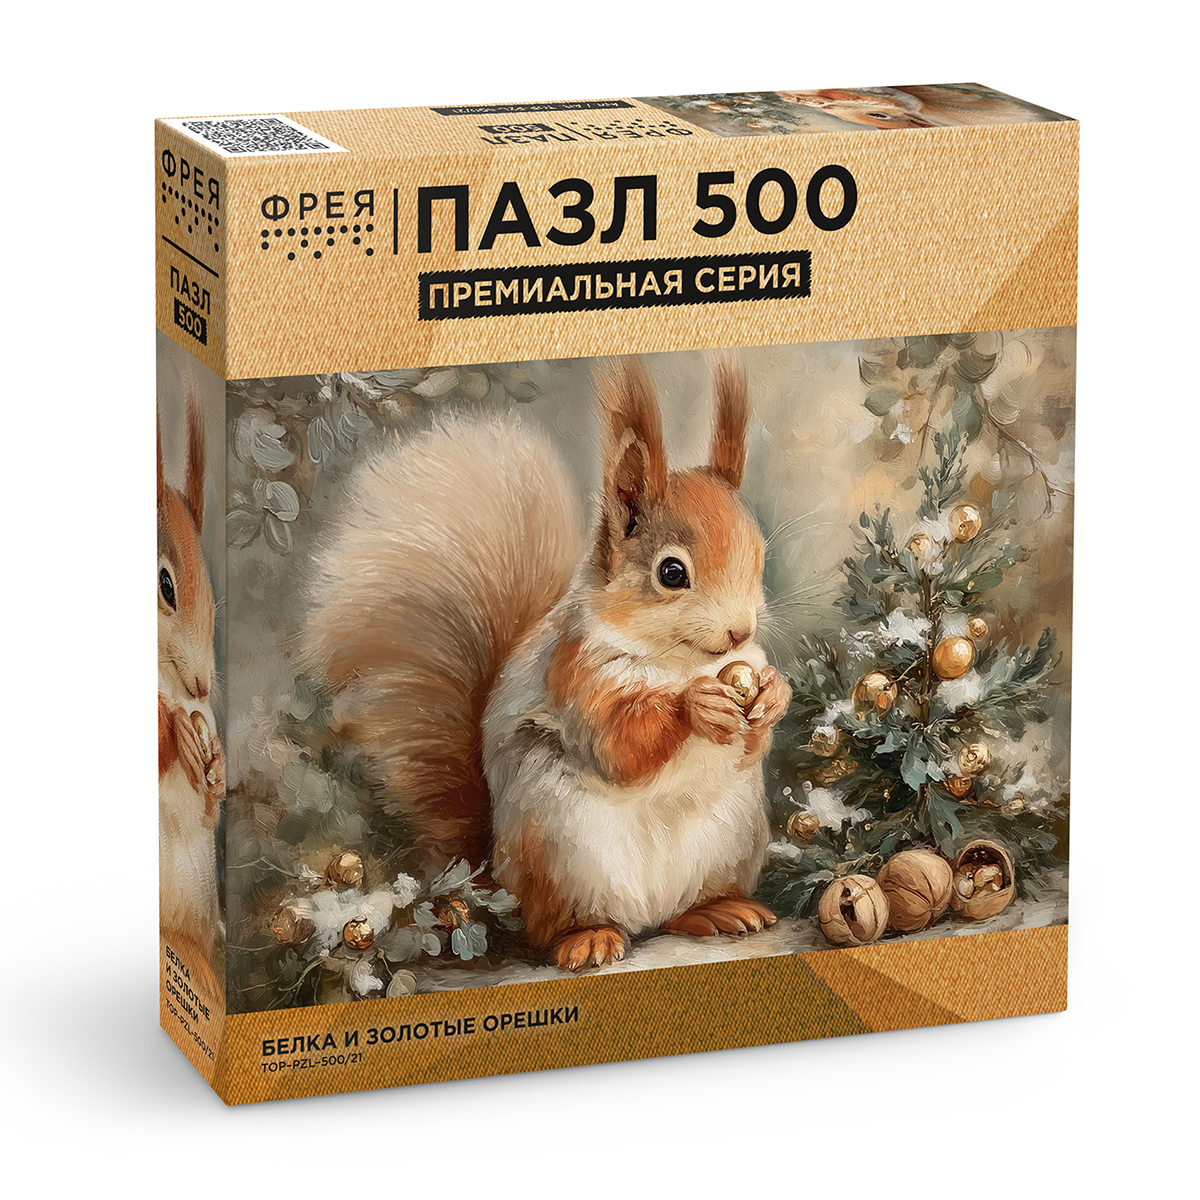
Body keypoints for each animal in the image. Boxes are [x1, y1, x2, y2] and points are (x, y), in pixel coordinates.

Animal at [305, 359, 792, 970]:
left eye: (759, 557)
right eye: (671, 573)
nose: (740, 631)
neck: (679, 661)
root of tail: (494, 875)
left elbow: (752, 744)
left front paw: (773, 695)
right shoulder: (577, 675)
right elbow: (619, 745)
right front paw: (695, 706)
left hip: (731, 841)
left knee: (682, 910)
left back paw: (718, 911)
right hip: (560, 851)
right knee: (556, 927)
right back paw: (588, 938)